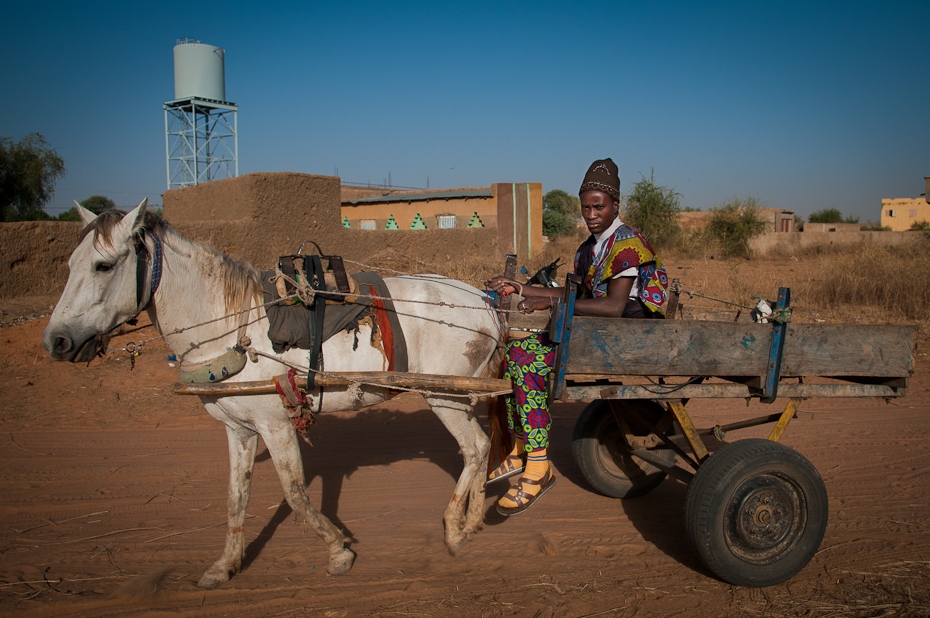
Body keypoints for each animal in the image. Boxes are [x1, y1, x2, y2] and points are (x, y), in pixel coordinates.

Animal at [43, 201, 504, 588]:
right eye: (67, 264)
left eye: (103, 266)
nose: (56, 341)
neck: (229, 324)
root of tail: (483, 299)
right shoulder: (238, 429)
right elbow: (236, 496)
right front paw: (225, 565)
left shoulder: (276, 423)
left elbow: (295, 493)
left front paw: (338, 550)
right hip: (454, 396)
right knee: (482, 446)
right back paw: (473, 520)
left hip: (443, 396)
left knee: (474, 449)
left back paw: (454, 528)